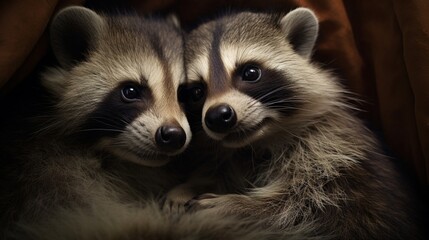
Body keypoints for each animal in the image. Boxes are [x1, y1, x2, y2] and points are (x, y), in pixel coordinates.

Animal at [179, 7, 422, 240]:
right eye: (196, 92)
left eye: (250, 73)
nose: (218, 116)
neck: (257, 144)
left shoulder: (331, 149)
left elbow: (305, 205)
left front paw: (238, 206)